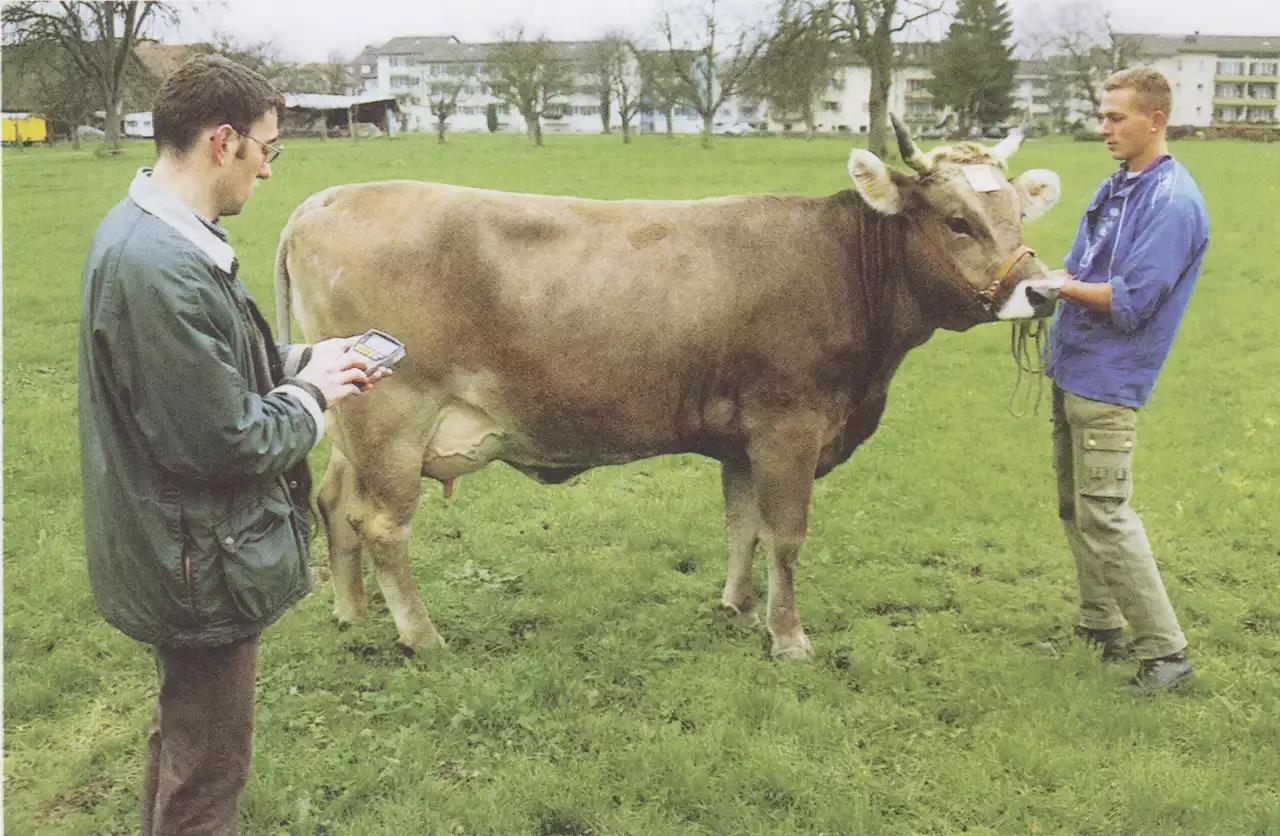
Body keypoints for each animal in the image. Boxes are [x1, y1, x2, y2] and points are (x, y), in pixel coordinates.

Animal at [277, 117, 1059, 660]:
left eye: (1017, 215)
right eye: (957, 221)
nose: (1044, 290)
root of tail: (326, 199)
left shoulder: (744, 437)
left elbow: (744, 527)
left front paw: (736, 611)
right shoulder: (790, 423)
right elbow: (786, 536)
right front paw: (789, 637)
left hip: (355, 419)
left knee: (335, 503)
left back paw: (354, 613)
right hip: (393, 416)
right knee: (381, 523)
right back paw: (421, 636)